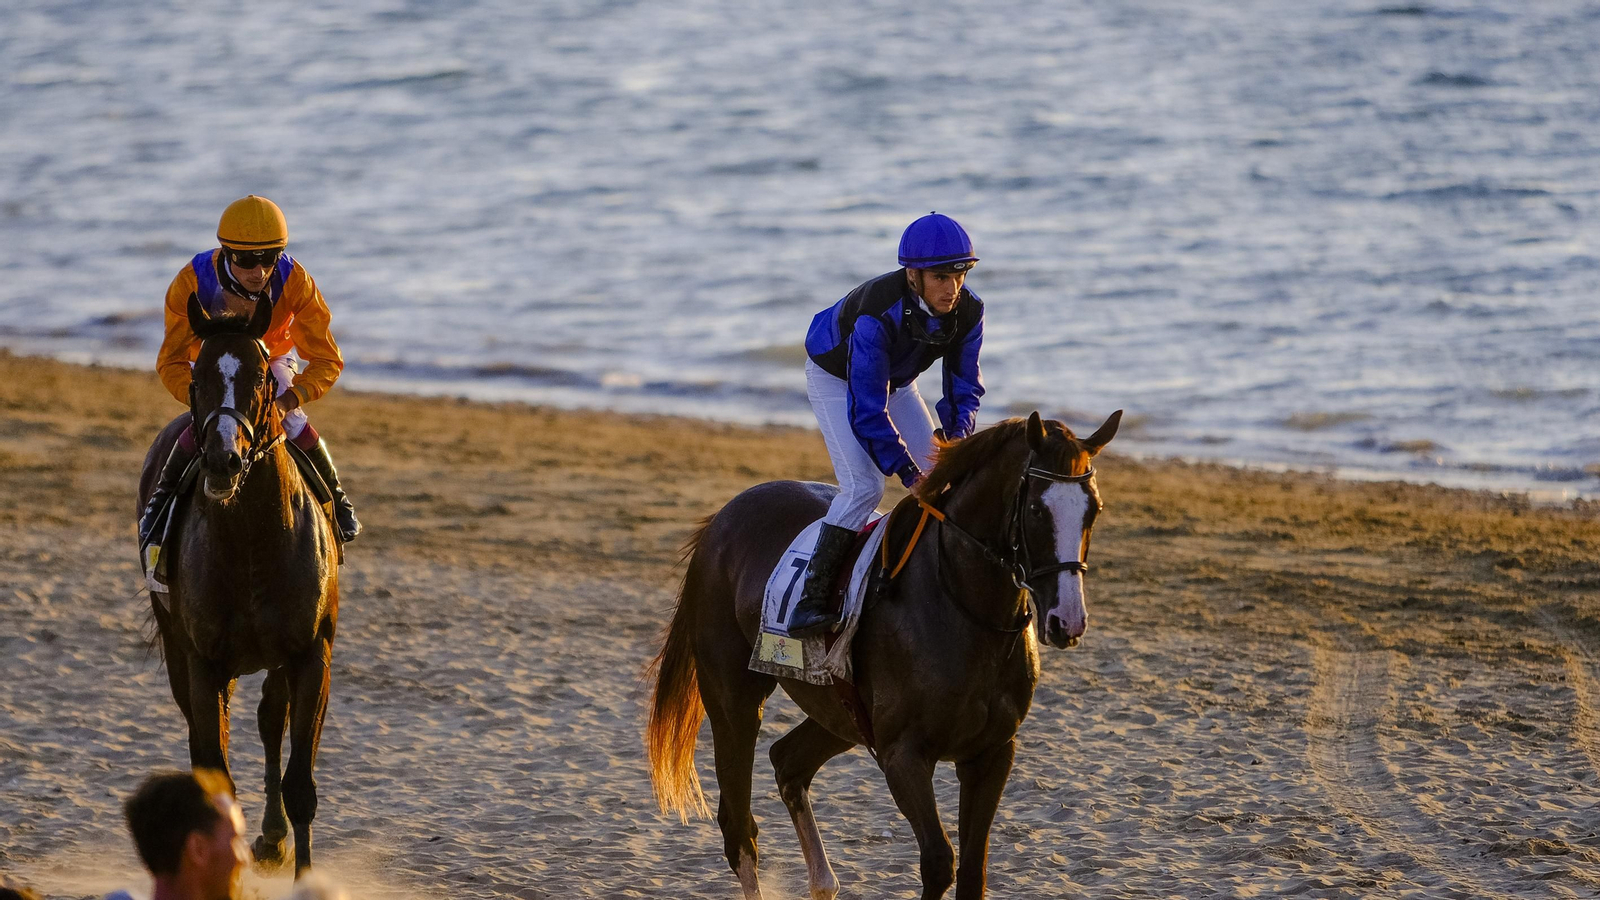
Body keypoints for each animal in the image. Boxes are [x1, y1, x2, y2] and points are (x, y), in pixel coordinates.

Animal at [136, 293, 340, 877]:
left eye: (259, 376)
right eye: (197, 375)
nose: (223, 458)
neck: (251, 542)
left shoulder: (310, 653)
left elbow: (299, 784)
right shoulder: (202, 661)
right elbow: (216, 778)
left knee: (270, 721)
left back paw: (272, 837)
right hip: (181, 652)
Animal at [646, 410, 1121, 900]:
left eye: (1094, 509)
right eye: (1036, 510)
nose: (1067, 620)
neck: (963, 608)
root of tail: (720, 520)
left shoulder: (991, 753)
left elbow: (973, 870)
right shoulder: (903, 753)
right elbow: (939, 862)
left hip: (840, 713)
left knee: (787, 762)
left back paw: (824, 882)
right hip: (733, 699)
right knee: (739, 827)